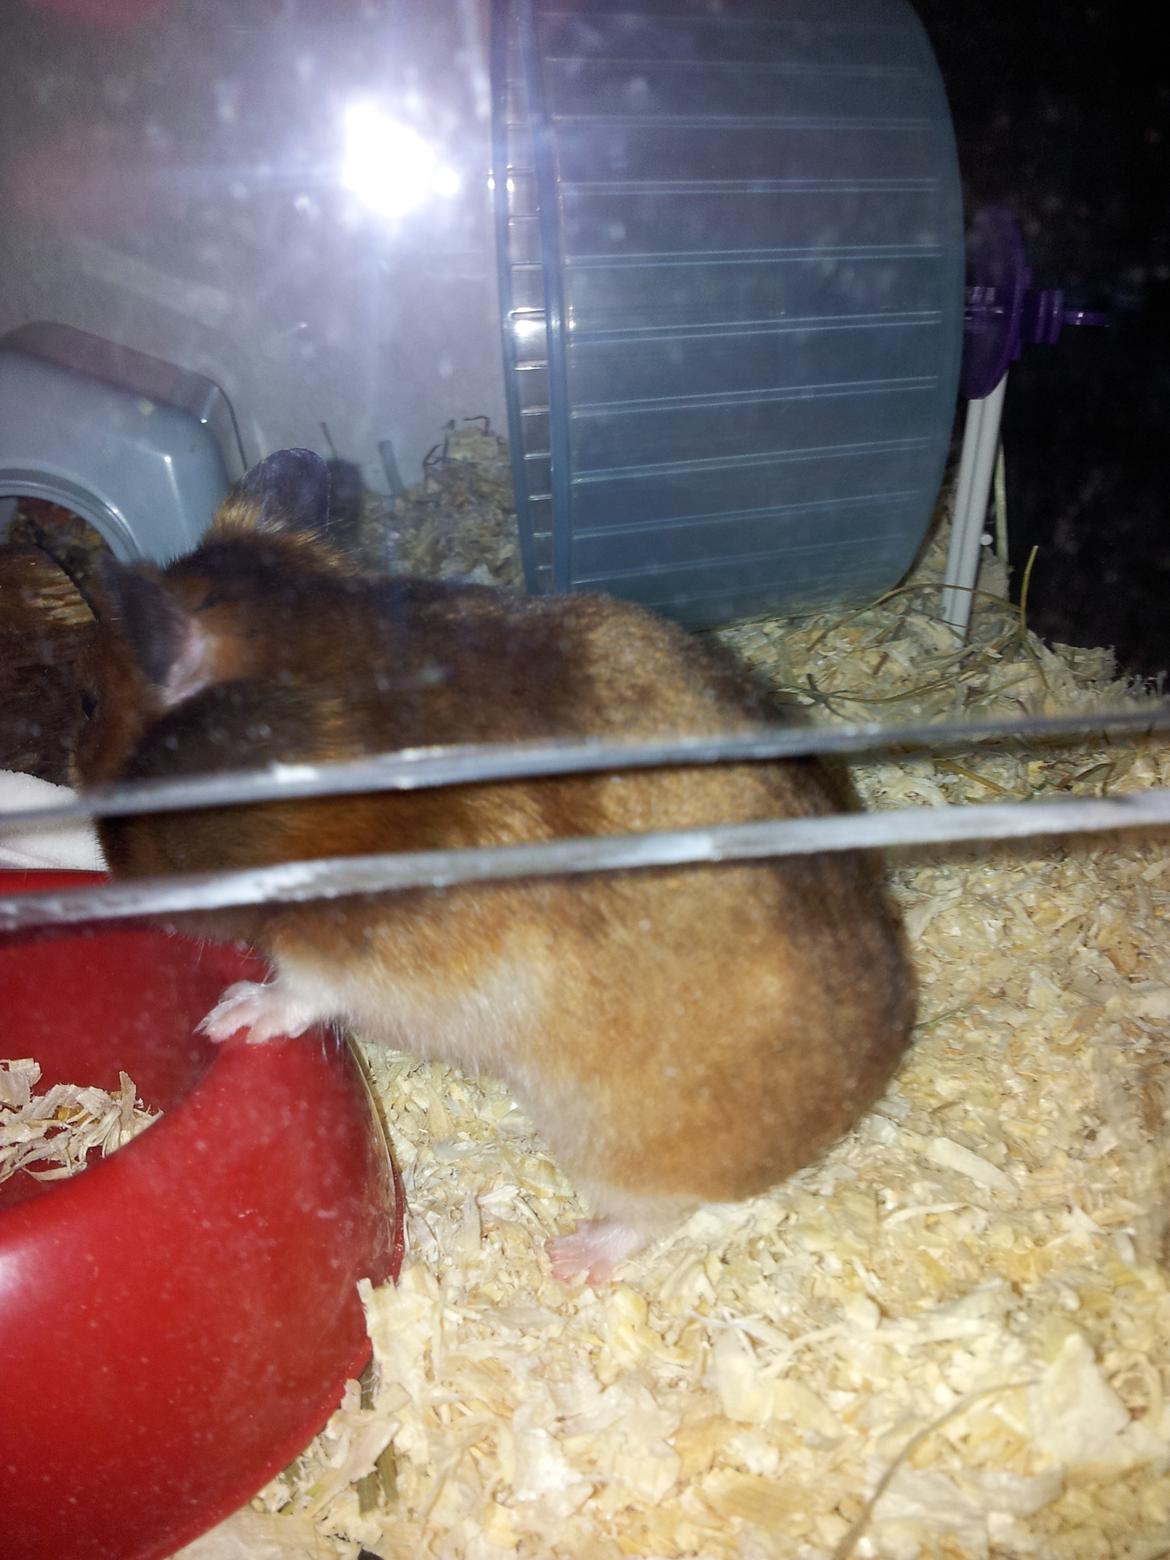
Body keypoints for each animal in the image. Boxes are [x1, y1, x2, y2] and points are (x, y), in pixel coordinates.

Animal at [74, 448, 914, 1283]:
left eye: (92, 712)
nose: (115, 877)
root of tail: (855, 1102)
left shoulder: (371, 950)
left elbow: (303, 988)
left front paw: (229, 1016)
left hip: (614, 1136)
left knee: (663, 1213)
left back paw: (570, 1259)